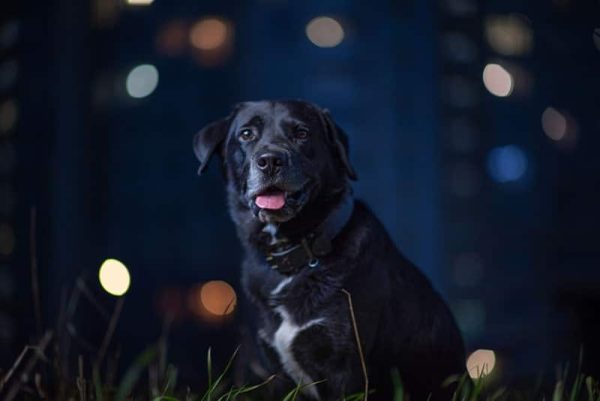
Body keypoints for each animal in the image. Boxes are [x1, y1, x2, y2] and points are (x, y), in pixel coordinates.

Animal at [195, 101, 466, 400]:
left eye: (302, 133)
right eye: (246, 134)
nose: (270, 160)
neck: (296, 255)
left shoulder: (344, 368)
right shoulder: (277, 374)